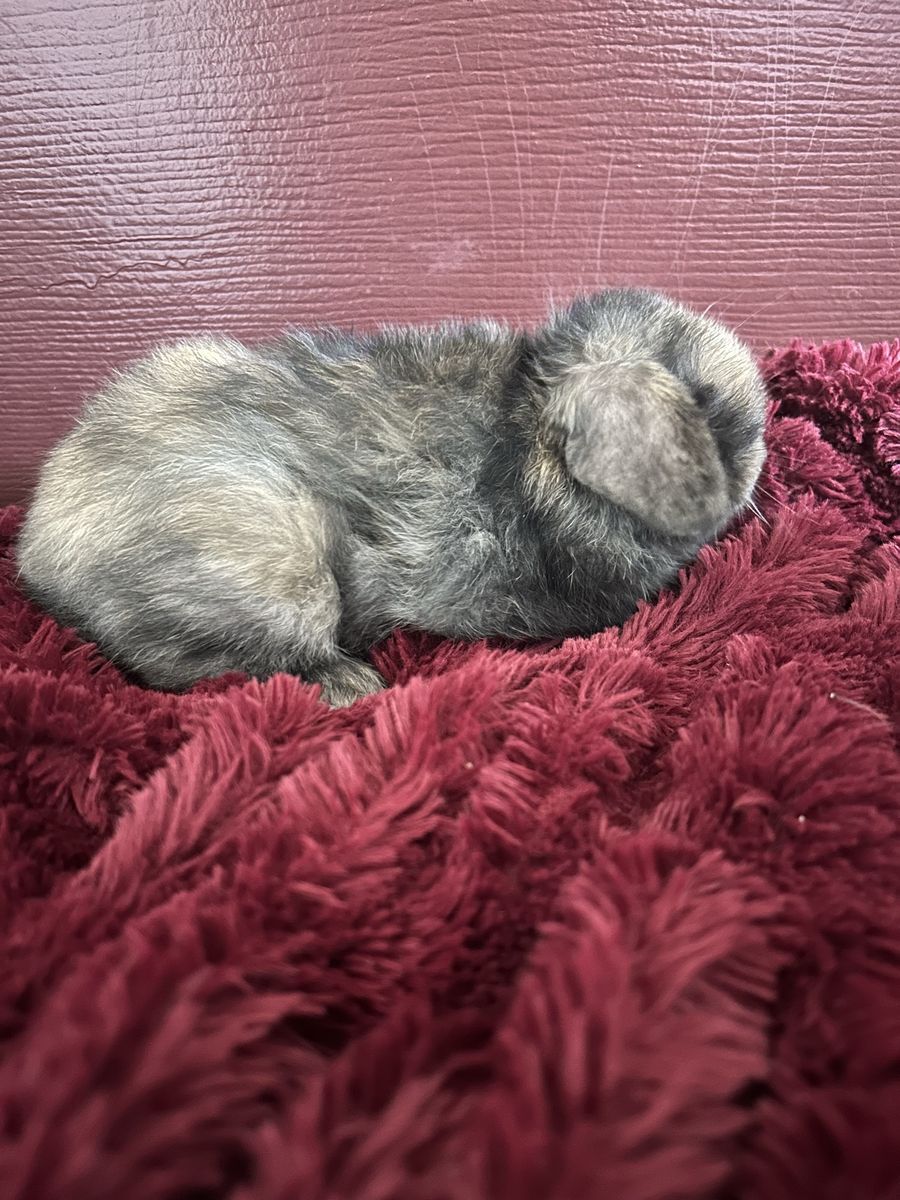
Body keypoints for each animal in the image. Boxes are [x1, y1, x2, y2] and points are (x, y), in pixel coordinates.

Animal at [17, 288, 767, 705]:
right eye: (720, 413)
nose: (767, 440)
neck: (536, 435)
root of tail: (38, 552)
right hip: (284, 563)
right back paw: (351, 684)